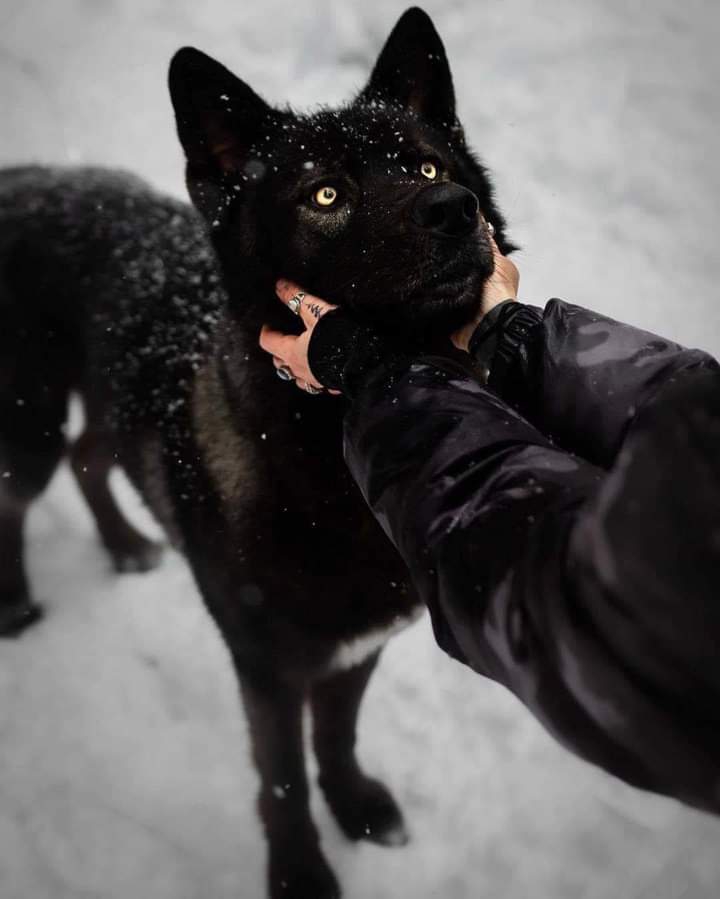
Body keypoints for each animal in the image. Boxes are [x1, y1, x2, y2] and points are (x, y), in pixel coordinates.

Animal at [0, 8, 514, 898]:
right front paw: (301, 871)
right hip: (30, 420)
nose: (455, 208)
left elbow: (335, 738)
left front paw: (356, 808)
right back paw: (19, 603)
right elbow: (281, 777)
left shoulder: (355, 650)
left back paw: (125, 545)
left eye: (427, 164)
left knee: (92, 454)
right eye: (326, 194)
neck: (325, 463)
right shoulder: (266, 668)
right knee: (19, 491)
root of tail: (19, 179)